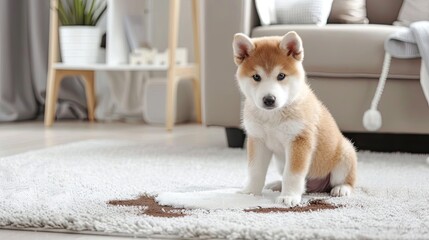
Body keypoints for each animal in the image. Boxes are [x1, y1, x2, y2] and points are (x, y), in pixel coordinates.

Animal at [232, 31, 356, 208]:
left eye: (281, 76)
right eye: (256, 77)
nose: (269, 99)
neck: (273, 117)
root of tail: (317, 187)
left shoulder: (298, 140)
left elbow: (292, 174)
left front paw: (289, 196)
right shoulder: (257, 140)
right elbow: (255, 170)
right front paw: (250, 192)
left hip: (345, 154)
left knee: (347, 180)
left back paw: (341, 188)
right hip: (280, 163)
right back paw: (277, 184)